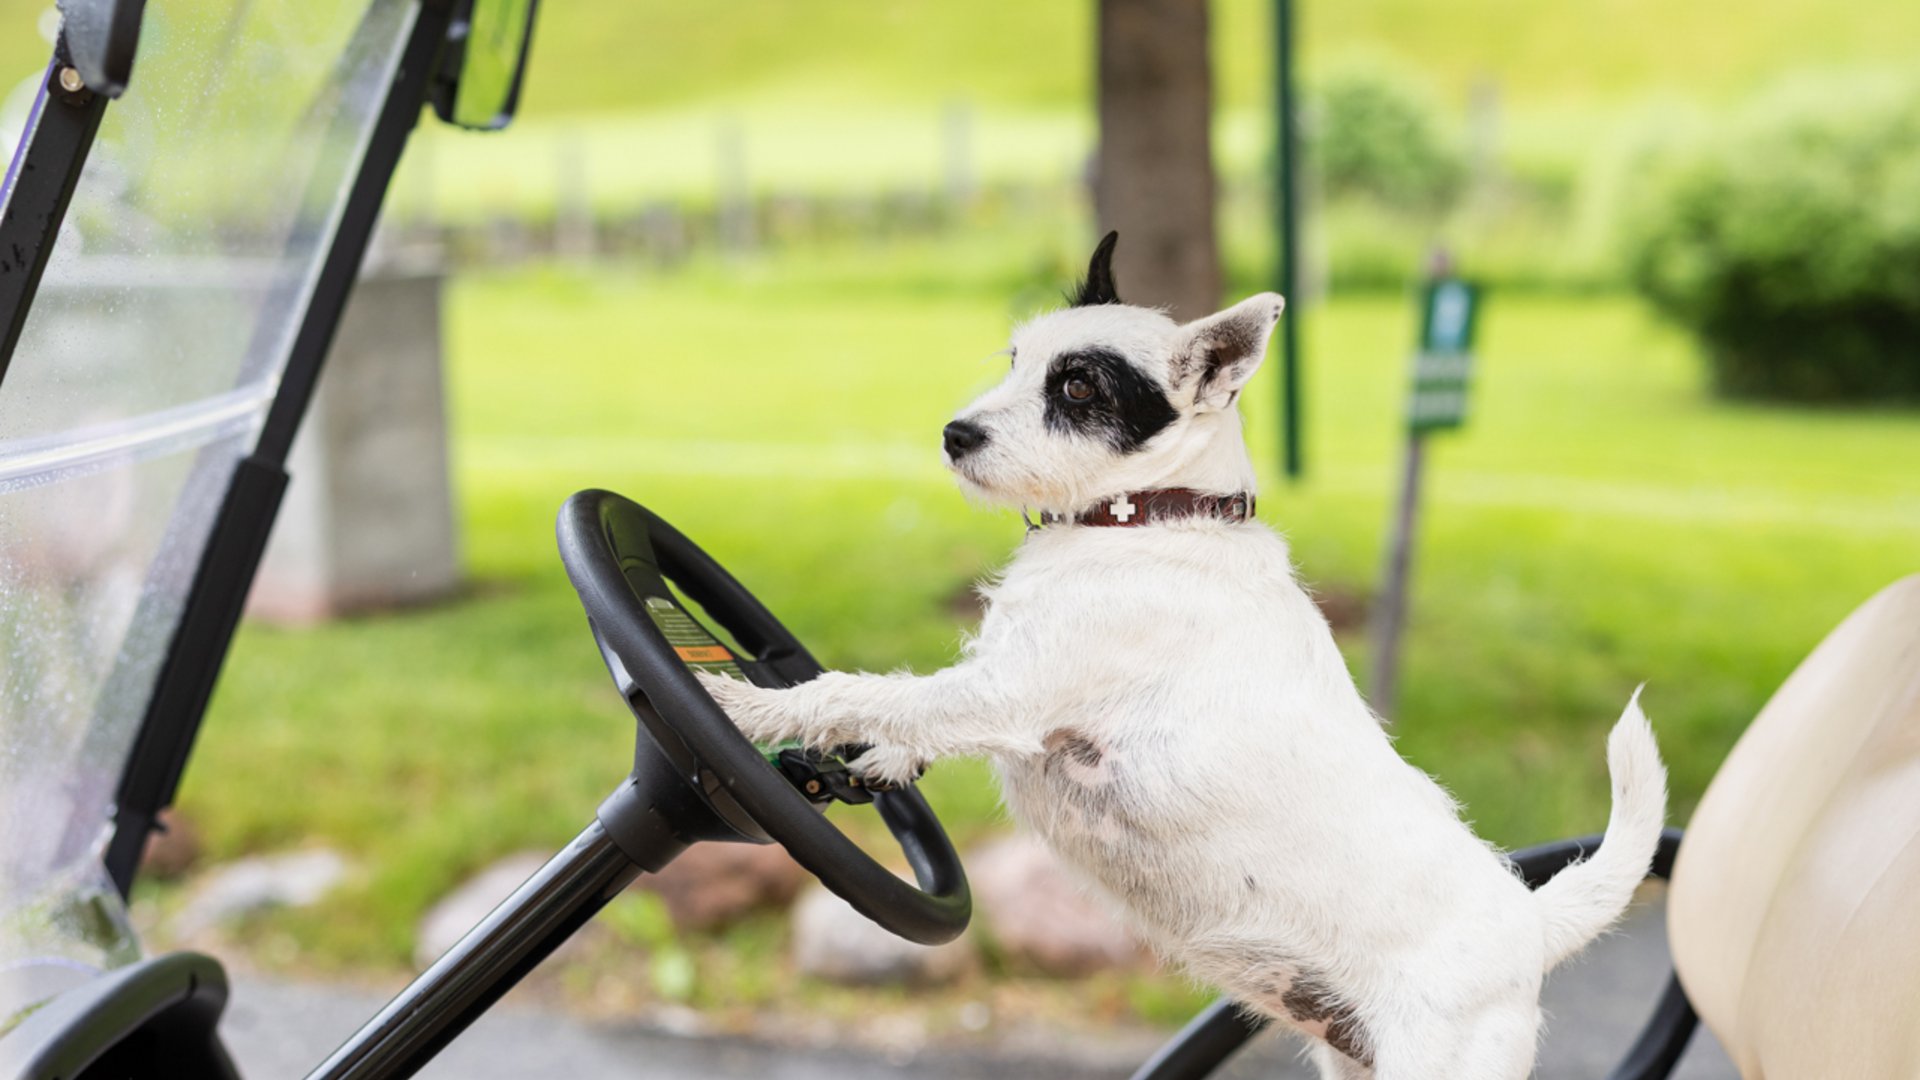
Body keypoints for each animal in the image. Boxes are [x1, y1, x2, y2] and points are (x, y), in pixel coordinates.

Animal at [706, 231, 1666, 1068]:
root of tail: (1531, 922)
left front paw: (747, 705)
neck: (1152, 517)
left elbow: (865, 688)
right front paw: (881, 759)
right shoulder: (993, 683)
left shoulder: (1010, 692)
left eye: (1080, 387)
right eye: (1015, 359)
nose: (955, 434)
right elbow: (907, 707)